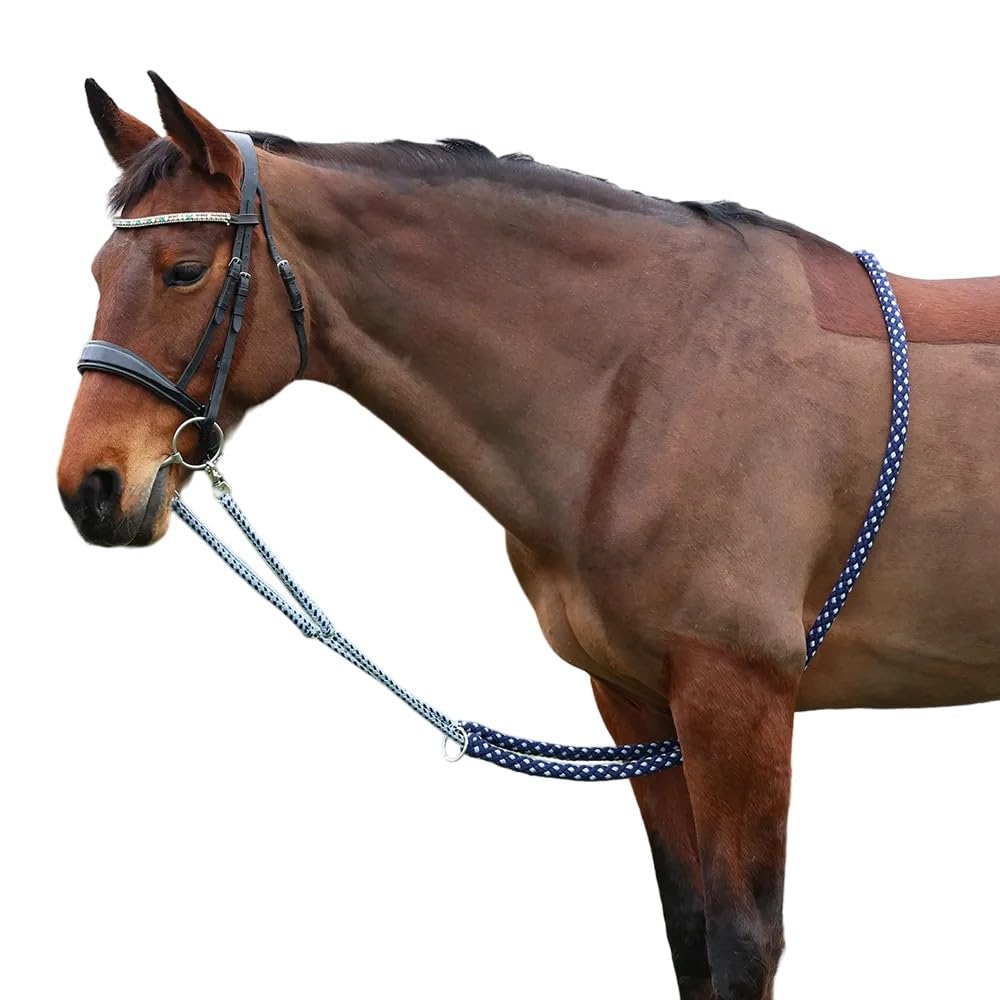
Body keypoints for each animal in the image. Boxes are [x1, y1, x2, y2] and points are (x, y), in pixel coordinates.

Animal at [57, 74, 1000, 1000]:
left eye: (184, 271)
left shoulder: (739, 697)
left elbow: (742, 944)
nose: (90, 488)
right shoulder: (635, 700)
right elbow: (689, 932)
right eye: (100, 270)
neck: (658, 374)